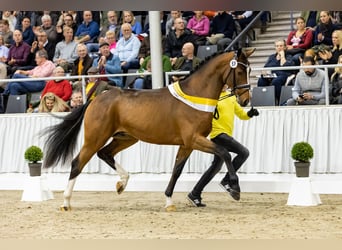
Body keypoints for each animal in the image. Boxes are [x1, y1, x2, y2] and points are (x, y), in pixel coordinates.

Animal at [42, 47, 255, 211]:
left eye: (250, 70)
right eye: (239, 71)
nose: (245, 100)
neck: (196, 95)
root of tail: (98, 97)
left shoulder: (187, 144)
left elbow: (177, 170)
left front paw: (169, 201)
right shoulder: (194, 139)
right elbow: (225, 153)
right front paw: (234, 189)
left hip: (126, 137)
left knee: (105, 154)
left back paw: (122, 183)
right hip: (95, 138)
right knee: (78, 163)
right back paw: (66, 203)